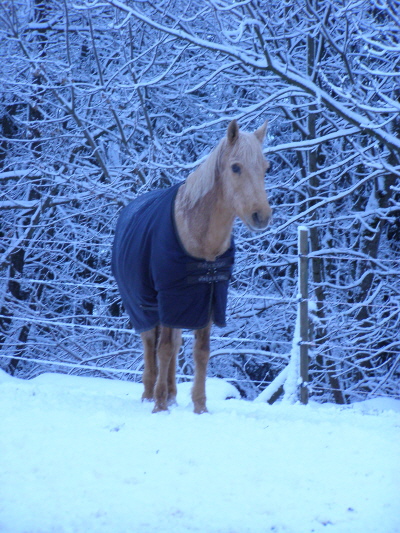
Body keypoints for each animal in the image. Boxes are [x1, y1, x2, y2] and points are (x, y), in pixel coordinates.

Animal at [112, 118, 272, 414]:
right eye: (236, 167)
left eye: (266, 168)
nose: (262, 216)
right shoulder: (169, 297)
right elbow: (163, 349)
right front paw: (160, 407)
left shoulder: (208, 298)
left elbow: (200, 352)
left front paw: (199, 407)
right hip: (144, 306)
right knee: (151, 344)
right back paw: (150, 394)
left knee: (174, 344)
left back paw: (172, 395)